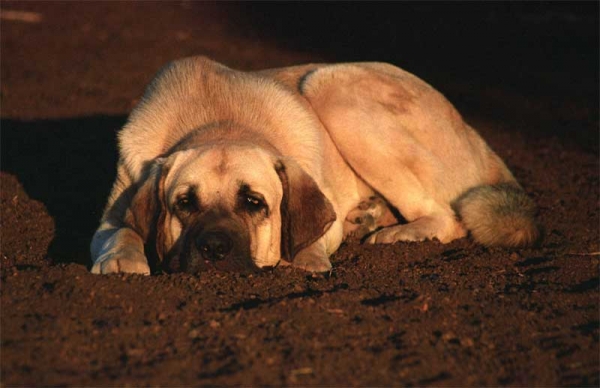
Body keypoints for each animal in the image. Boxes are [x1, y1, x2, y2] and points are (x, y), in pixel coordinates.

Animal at [89, 56, 540, 276]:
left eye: (254, 203)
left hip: (332, 90)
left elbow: (313, 236)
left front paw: (306, 261)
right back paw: (371, 216)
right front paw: (123, 261)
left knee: (448, 217)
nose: (215, 248)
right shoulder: (110, 217)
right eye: (184, 203)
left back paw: (401, 233)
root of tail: (473, 133)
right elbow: (123, 231)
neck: (216, 118)